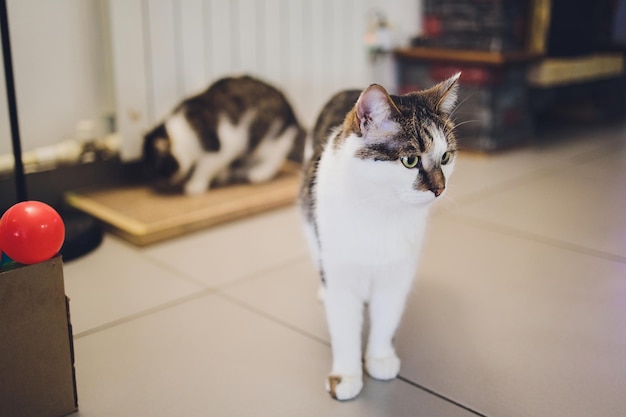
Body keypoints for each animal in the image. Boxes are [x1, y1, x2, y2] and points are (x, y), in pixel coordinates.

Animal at [142, 75, 308, 195]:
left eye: (158, 170)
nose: (157, 184)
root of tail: (292, 114)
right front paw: (223, 175)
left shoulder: (220, 148)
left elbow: (204, 168)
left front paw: (195, 185)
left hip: (268, 138)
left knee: (275, 156)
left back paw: (259, 173)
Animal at [298, 72, 458, 400]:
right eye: (410, 160)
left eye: (446, 157)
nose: (440, 189)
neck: (381, 212)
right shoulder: (341, 274)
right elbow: (343, 326)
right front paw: (346, 376)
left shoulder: (397, 273)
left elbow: (387, 316)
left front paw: (380, 359)